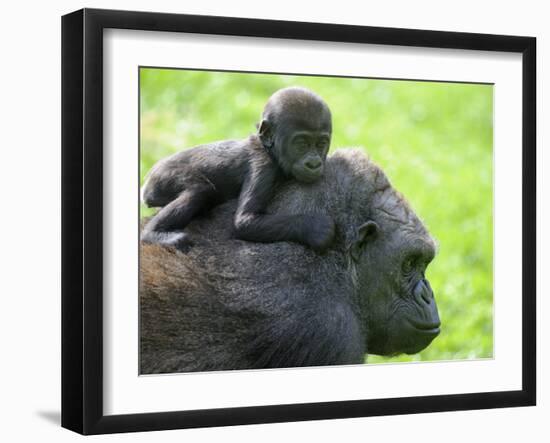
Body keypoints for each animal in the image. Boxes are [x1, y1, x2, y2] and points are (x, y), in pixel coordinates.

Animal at [140, 87, 334, 253]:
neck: (268, 149)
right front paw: (315, 227)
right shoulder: (262, 167)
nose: (314, 164)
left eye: (321, 144)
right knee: (199, 190)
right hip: (162, 176)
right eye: (301, 144)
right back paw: (154, 235)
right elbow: (245, 221)